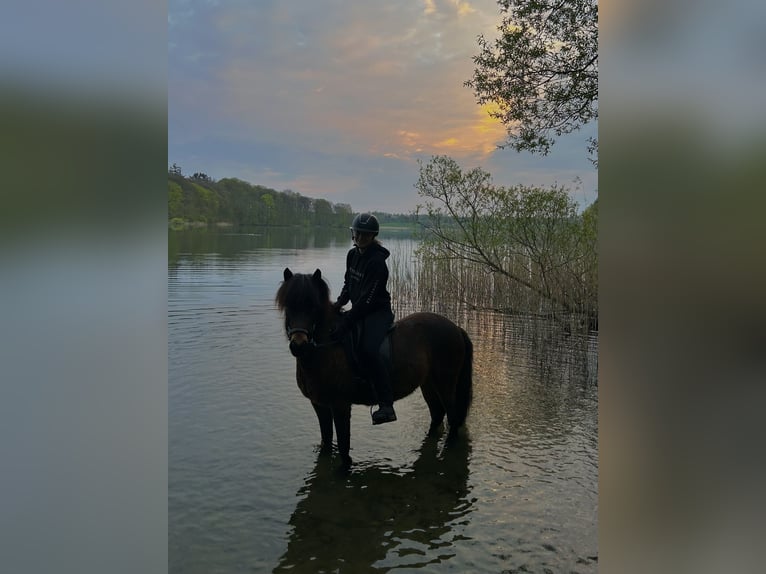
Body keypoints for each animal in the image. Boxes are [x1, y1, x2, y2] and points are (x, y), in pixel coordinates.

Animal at [275, 267, 473, 468]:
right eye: (288, 306)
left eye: (314, 307)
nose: (299, 345)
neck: (327, 349)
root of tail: (456, 328)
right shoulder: (319, 405)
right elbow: (327, 441)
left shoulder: (340, 405)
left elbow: (343, 445)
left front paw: (344, 470)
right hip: (428, 384)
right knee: (437, 415)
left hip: (445, 384)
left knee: (453, 416)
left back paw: (449, 449)